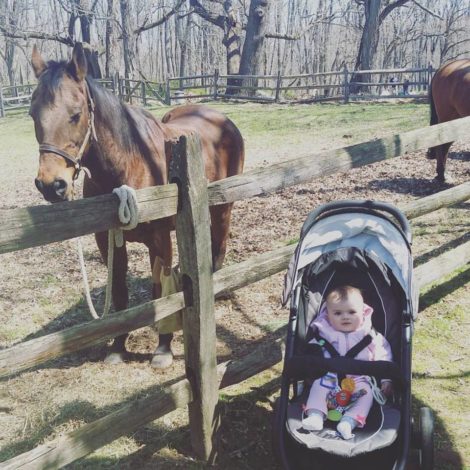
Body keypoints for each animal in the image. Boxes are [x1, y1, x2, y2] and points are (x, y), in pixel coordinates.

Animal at [32, 43, 246, 368]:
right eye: (33, 114)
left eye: (76, 114)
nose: (51, 185)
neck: (130, 164)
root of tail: (221, 118)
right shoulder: (108, 242)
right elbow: (121, 295)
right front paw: (119, 346)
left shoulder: (160, 240)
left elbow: (161, 293)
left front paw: (163, 347)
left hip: (223, 206)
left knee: (218, 244)